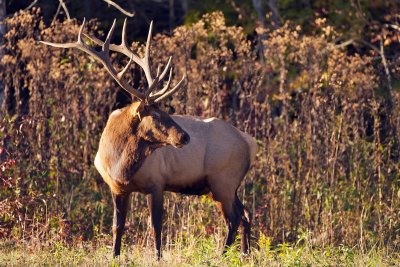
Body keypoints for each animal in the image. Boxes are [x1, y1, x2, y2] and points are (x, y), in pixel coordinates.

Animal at [42, 18, 258, 260]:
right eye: (155, 114)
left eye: (165, 111)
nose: (185, 136)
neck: (120, 165)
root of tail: (250, 143)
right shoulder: (116, 188)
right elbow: (118, 225)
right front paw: (114, 256)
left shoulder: (157, 182)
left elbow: (156, 225)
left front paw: (158, 257)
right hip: (224, 185)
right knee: (245, 214)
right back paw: (245, 254)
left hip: (223, 181)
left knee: (234, 218)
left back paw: (222, 255)